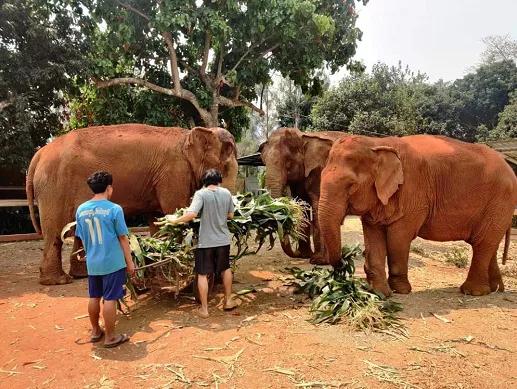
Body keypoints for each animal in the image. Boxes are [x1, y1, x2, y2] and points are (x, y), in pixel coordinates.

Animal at [26, 124, 238, 284]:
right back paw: (59, 281)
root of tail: (40, 153)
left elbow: (158, 218)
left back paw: (82, 275)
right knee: (56, 229)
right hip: (55, 187)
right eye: (226, 167)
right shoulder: (174, 172)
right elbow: (174, 211)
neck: (187, 137)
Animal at [258, 127, 346, 260]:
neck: (303, 137)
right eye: (264, 161)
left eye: (288, 163)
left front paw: (318, 260)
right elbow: (302, 204)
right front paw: (305, 256)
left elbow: (317, 205)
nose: (296, 253)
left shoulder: (319, 170)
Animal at [312, 135, 512, 296]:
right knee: (488, 244)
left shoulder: (413, 192)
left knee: (482, 243)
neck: (377, 143)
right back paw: (495, 289)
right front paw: (379, 293)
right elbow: (373, 236)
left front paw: (400, 290)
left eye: (351, 185)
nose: (343, 265)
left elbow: (398, 238)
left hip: (499, 202)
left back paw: (473, 292)